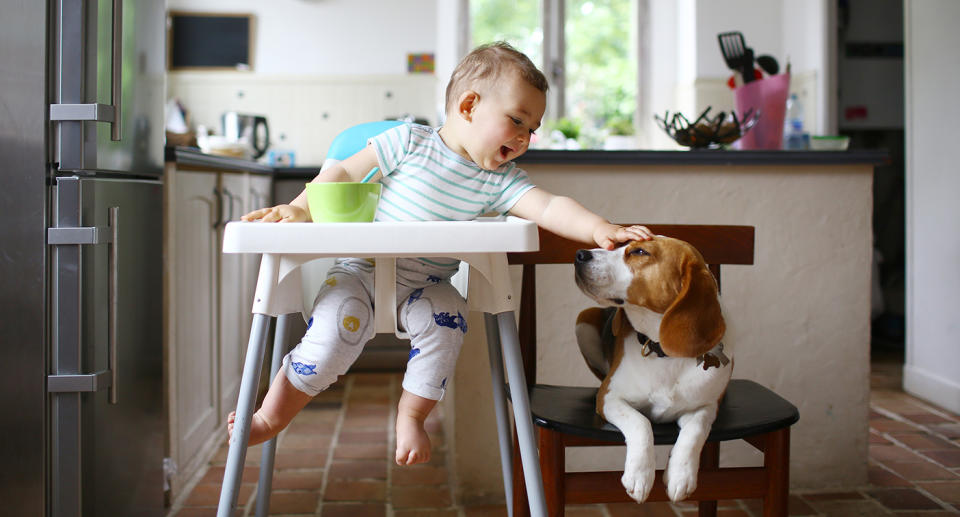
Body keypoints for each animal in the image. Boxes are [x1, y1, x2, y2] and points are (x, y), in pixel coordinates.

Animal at [572, 236, 732, 502]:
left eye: (639, 252)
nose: (579, 255)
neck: (663, 354)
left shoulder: (705, 407)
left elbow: (695, 431)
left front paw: (681, 475)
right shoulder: (609, 397)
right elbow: (641, 422)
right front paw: (639, 474)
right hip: (583, 321)